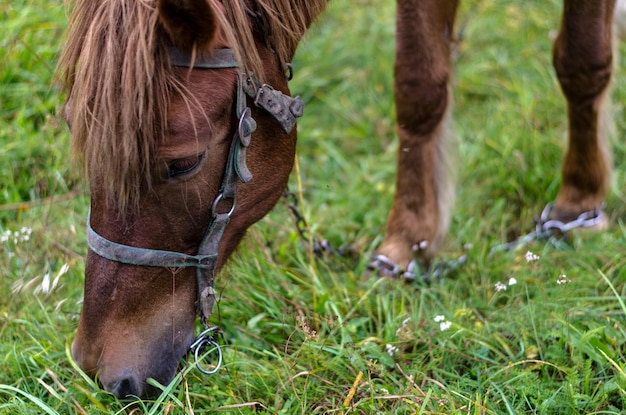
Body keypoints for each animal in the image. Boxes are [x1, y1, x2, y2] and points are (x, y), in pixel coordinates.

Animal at [58, 0, 616, 400]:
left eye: (182, 164)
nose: (95, 367)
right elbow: (418, 84)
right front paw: (408, 243)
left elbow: (582, 58)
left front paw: (579, 200)